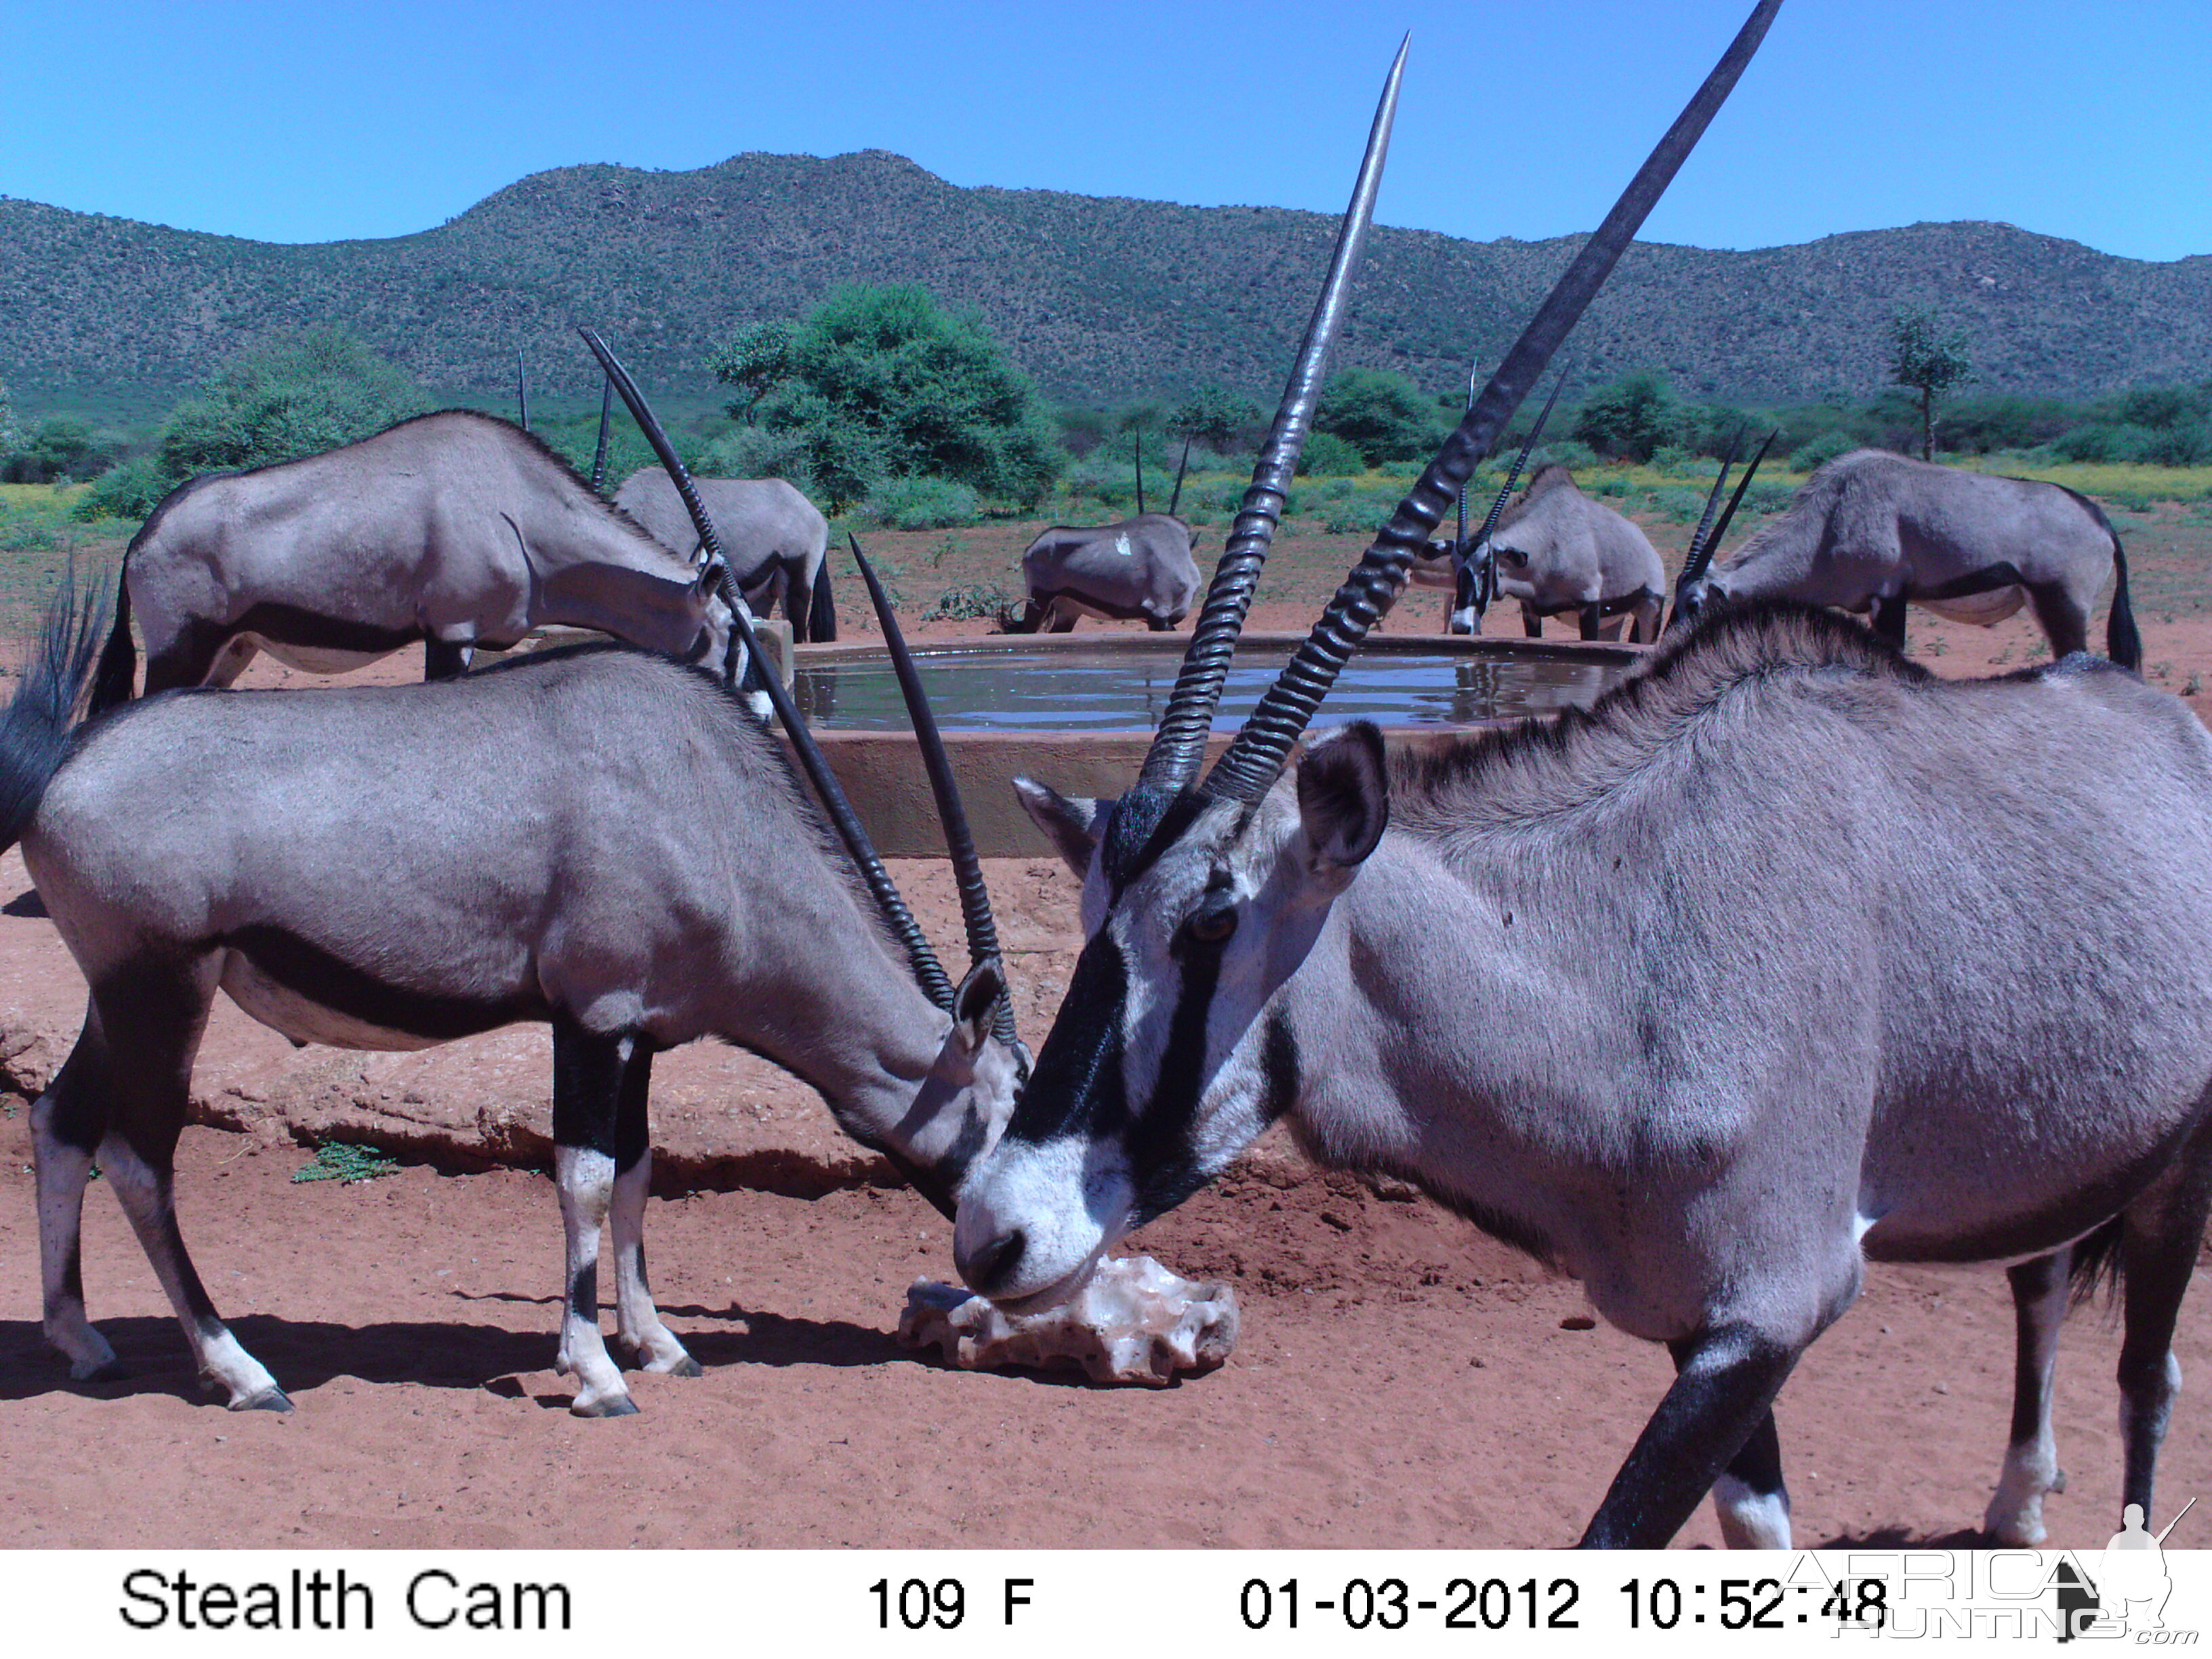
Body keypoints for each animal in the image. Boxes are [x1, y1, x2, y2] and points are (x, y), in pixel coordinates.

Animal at [93, 413, 734, 712]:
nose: (743, 698)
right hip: (179, 648)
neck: (520, 506)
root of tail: (146, 534)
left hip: (231, 652)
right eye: (725, 630)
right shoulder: (451, 633)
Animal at [1672, 449, 2141, 676]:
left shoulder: (1889, 598)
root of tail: (2099, 520)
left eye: (1693, 604)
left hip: (2063, 606)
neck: (1829, 519)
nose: (1668, 646)